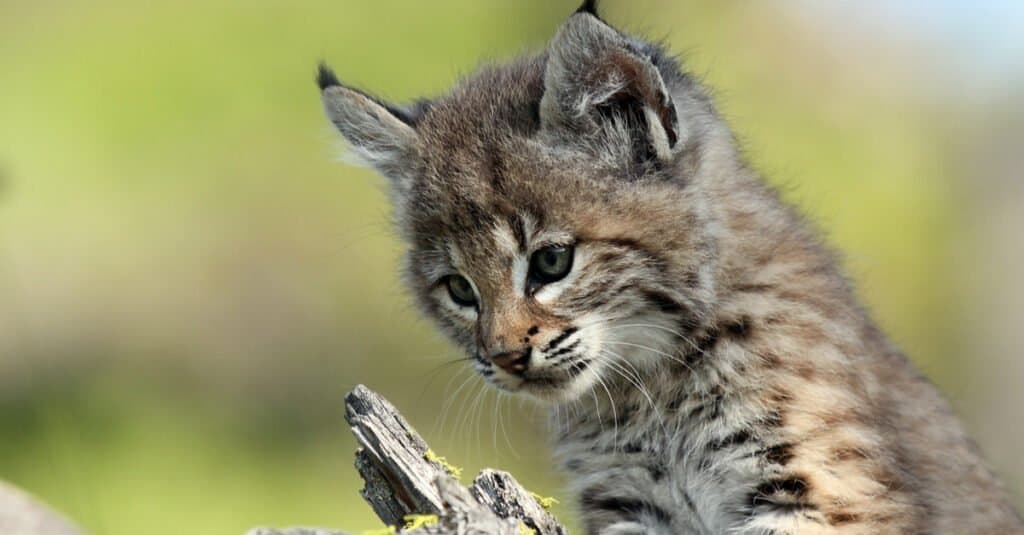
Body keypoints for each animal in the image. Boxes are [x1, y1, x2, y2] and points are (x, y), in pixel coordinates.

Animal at [315, 2, 1019, 528]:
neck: (652, 387)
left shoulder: (822, 485)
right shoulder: (630, 500)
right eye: (459, 289)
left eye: (551, 261)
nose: (506, 358)